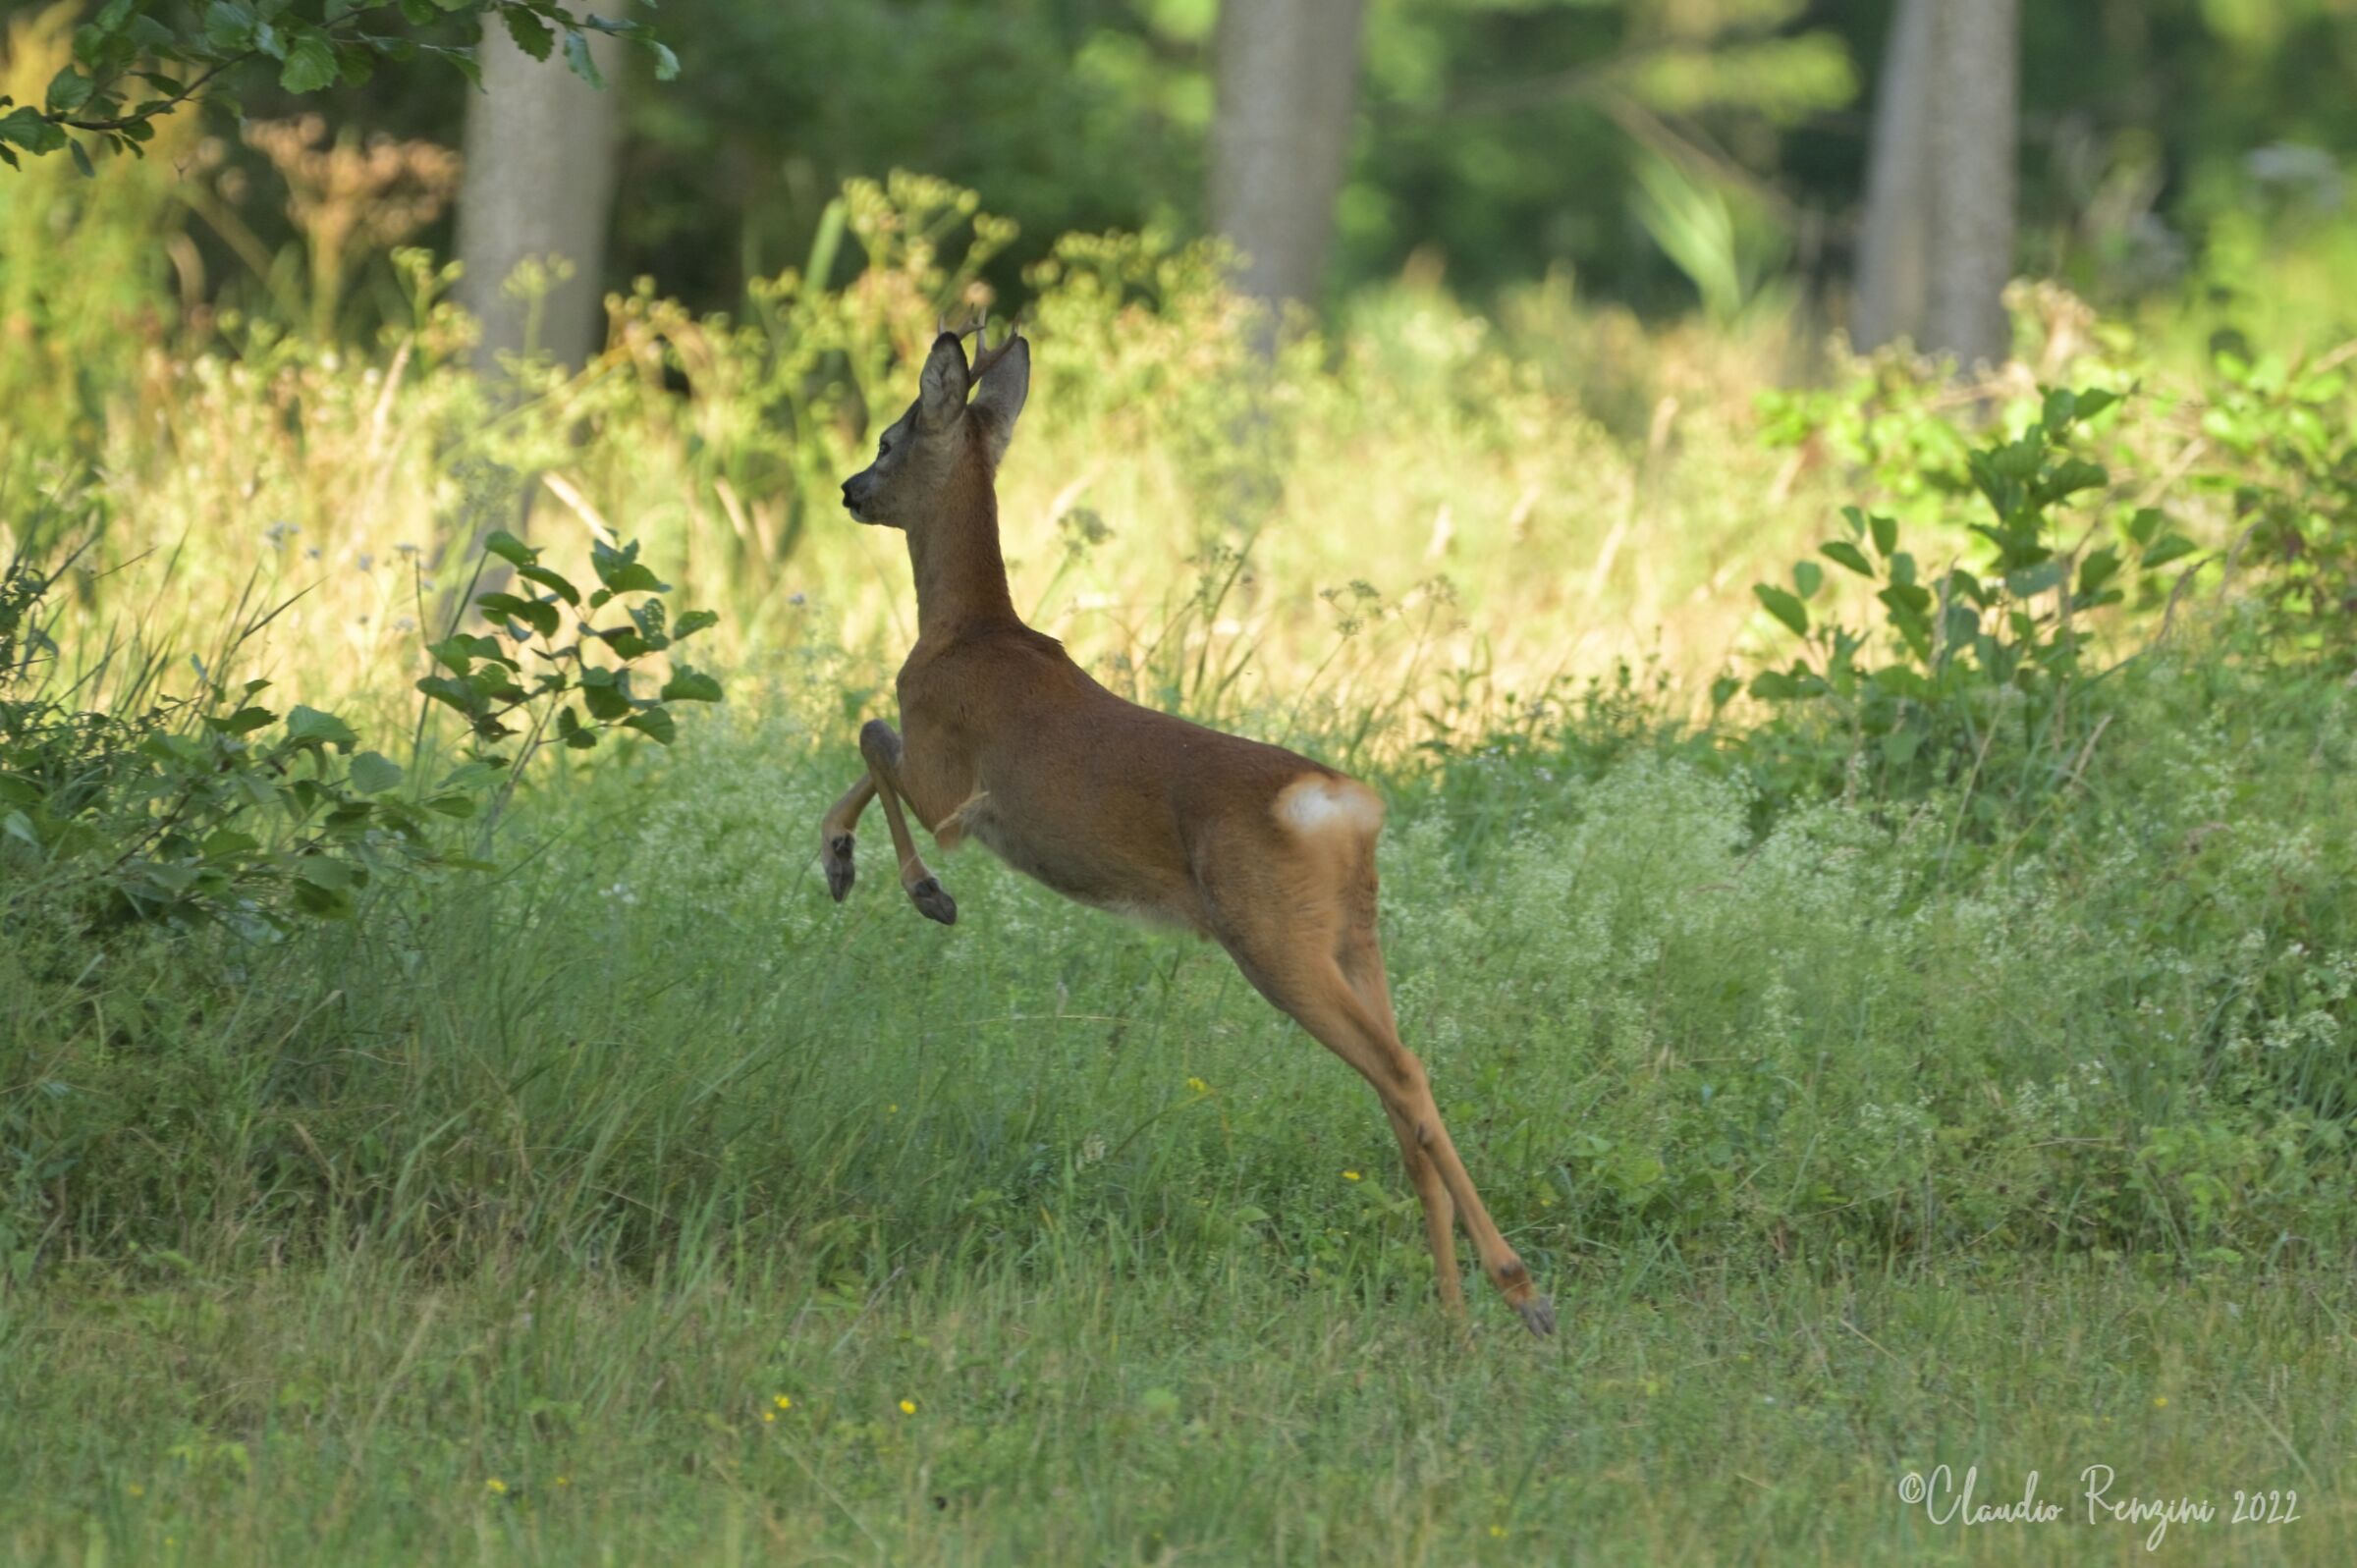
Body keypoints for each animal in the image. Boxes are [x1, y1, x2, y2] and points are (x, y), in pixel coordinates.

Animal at [822, 316, 1554, 1336]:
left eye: (890, 437)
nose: (850, 488)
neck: (965, 632)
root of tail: (1347, 806)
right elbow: (863, 750)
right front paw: (839, 862)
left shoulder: (954, 783)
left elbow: (869, 737)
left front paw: (918, 888)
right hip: (1353, 935)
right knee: (1402, 1091)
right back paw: (1454, 1312)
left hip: (1270, 933)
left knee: (1401, 1074)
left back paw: (1521, 1289)